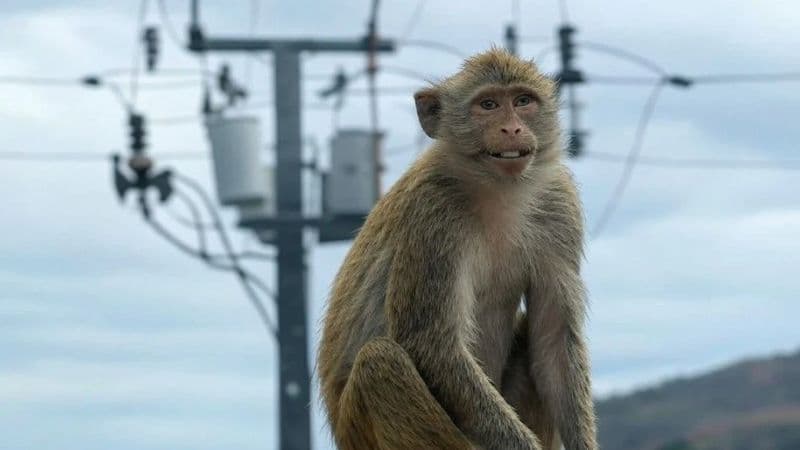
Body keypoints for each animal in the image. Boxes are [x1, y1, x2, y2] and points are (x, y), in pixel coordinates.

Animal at [317, 48, 597, 450]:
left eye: (522, 101)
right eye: (488, 104)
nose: (511, 128)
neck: (496, 192)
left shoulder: (559, 205)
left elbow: (554, 342)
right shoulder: (434, 214)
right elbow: (432, 345)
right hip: (358, 431)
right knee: (379, 362)